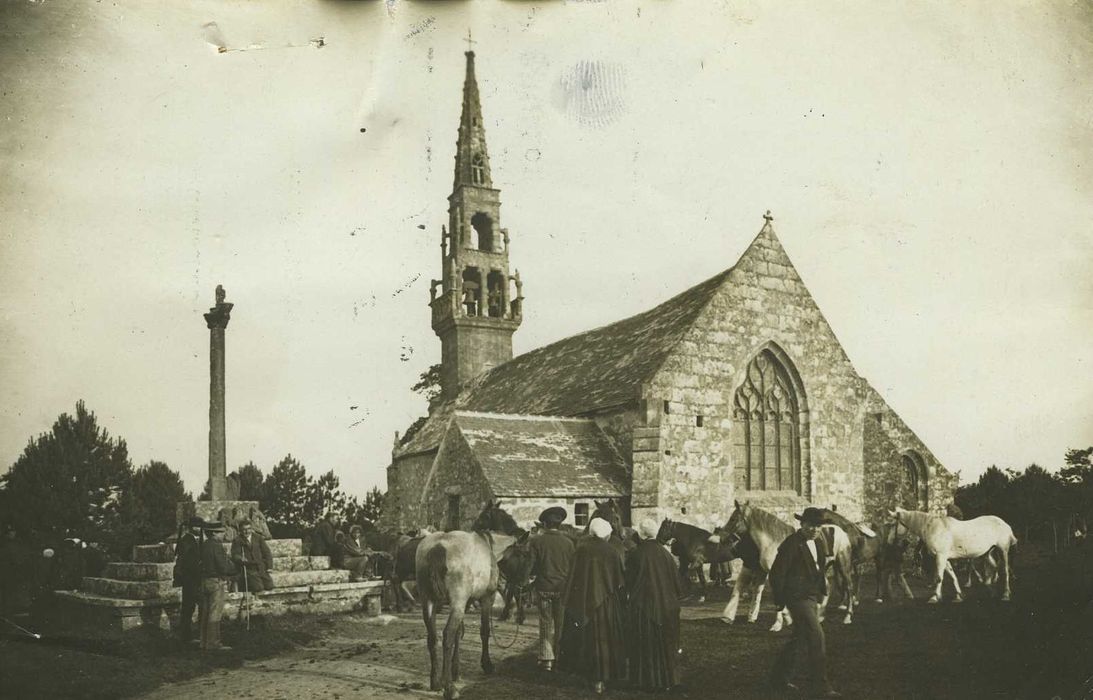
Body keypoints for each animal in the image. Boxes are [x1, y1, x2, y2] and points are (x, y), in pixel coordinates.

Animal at [413, 500, 524, 695]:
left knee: (433, 638)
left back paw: (436, 682)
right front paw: (486, 664)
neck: (489, 545)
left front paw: (454, 671)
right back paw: (449, 689)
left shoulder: (466, 603)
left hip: (429, 602)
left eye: (480, 519)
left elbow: (459, 633)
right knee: (446, 636)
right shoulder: (487, 598)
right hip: (456, 603)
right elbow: (484, 631)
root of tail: (437, 547)